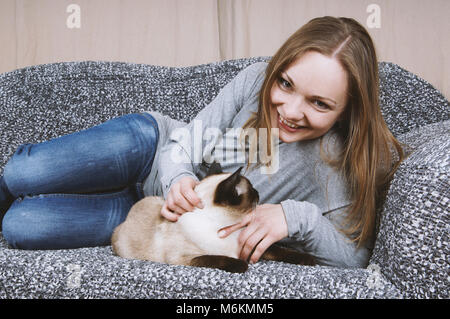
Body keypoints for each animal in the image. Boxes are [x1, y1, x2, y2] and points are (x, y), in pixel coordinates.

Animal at [111, 164, 316, 274]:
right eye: (251, 191)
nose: (259, 192)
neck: (226, 227)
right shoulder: (185, 258)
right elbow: (218, 258)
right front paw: (242, 264)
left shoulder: (251, 244)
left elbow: (281, 250)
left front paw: (310, 259)